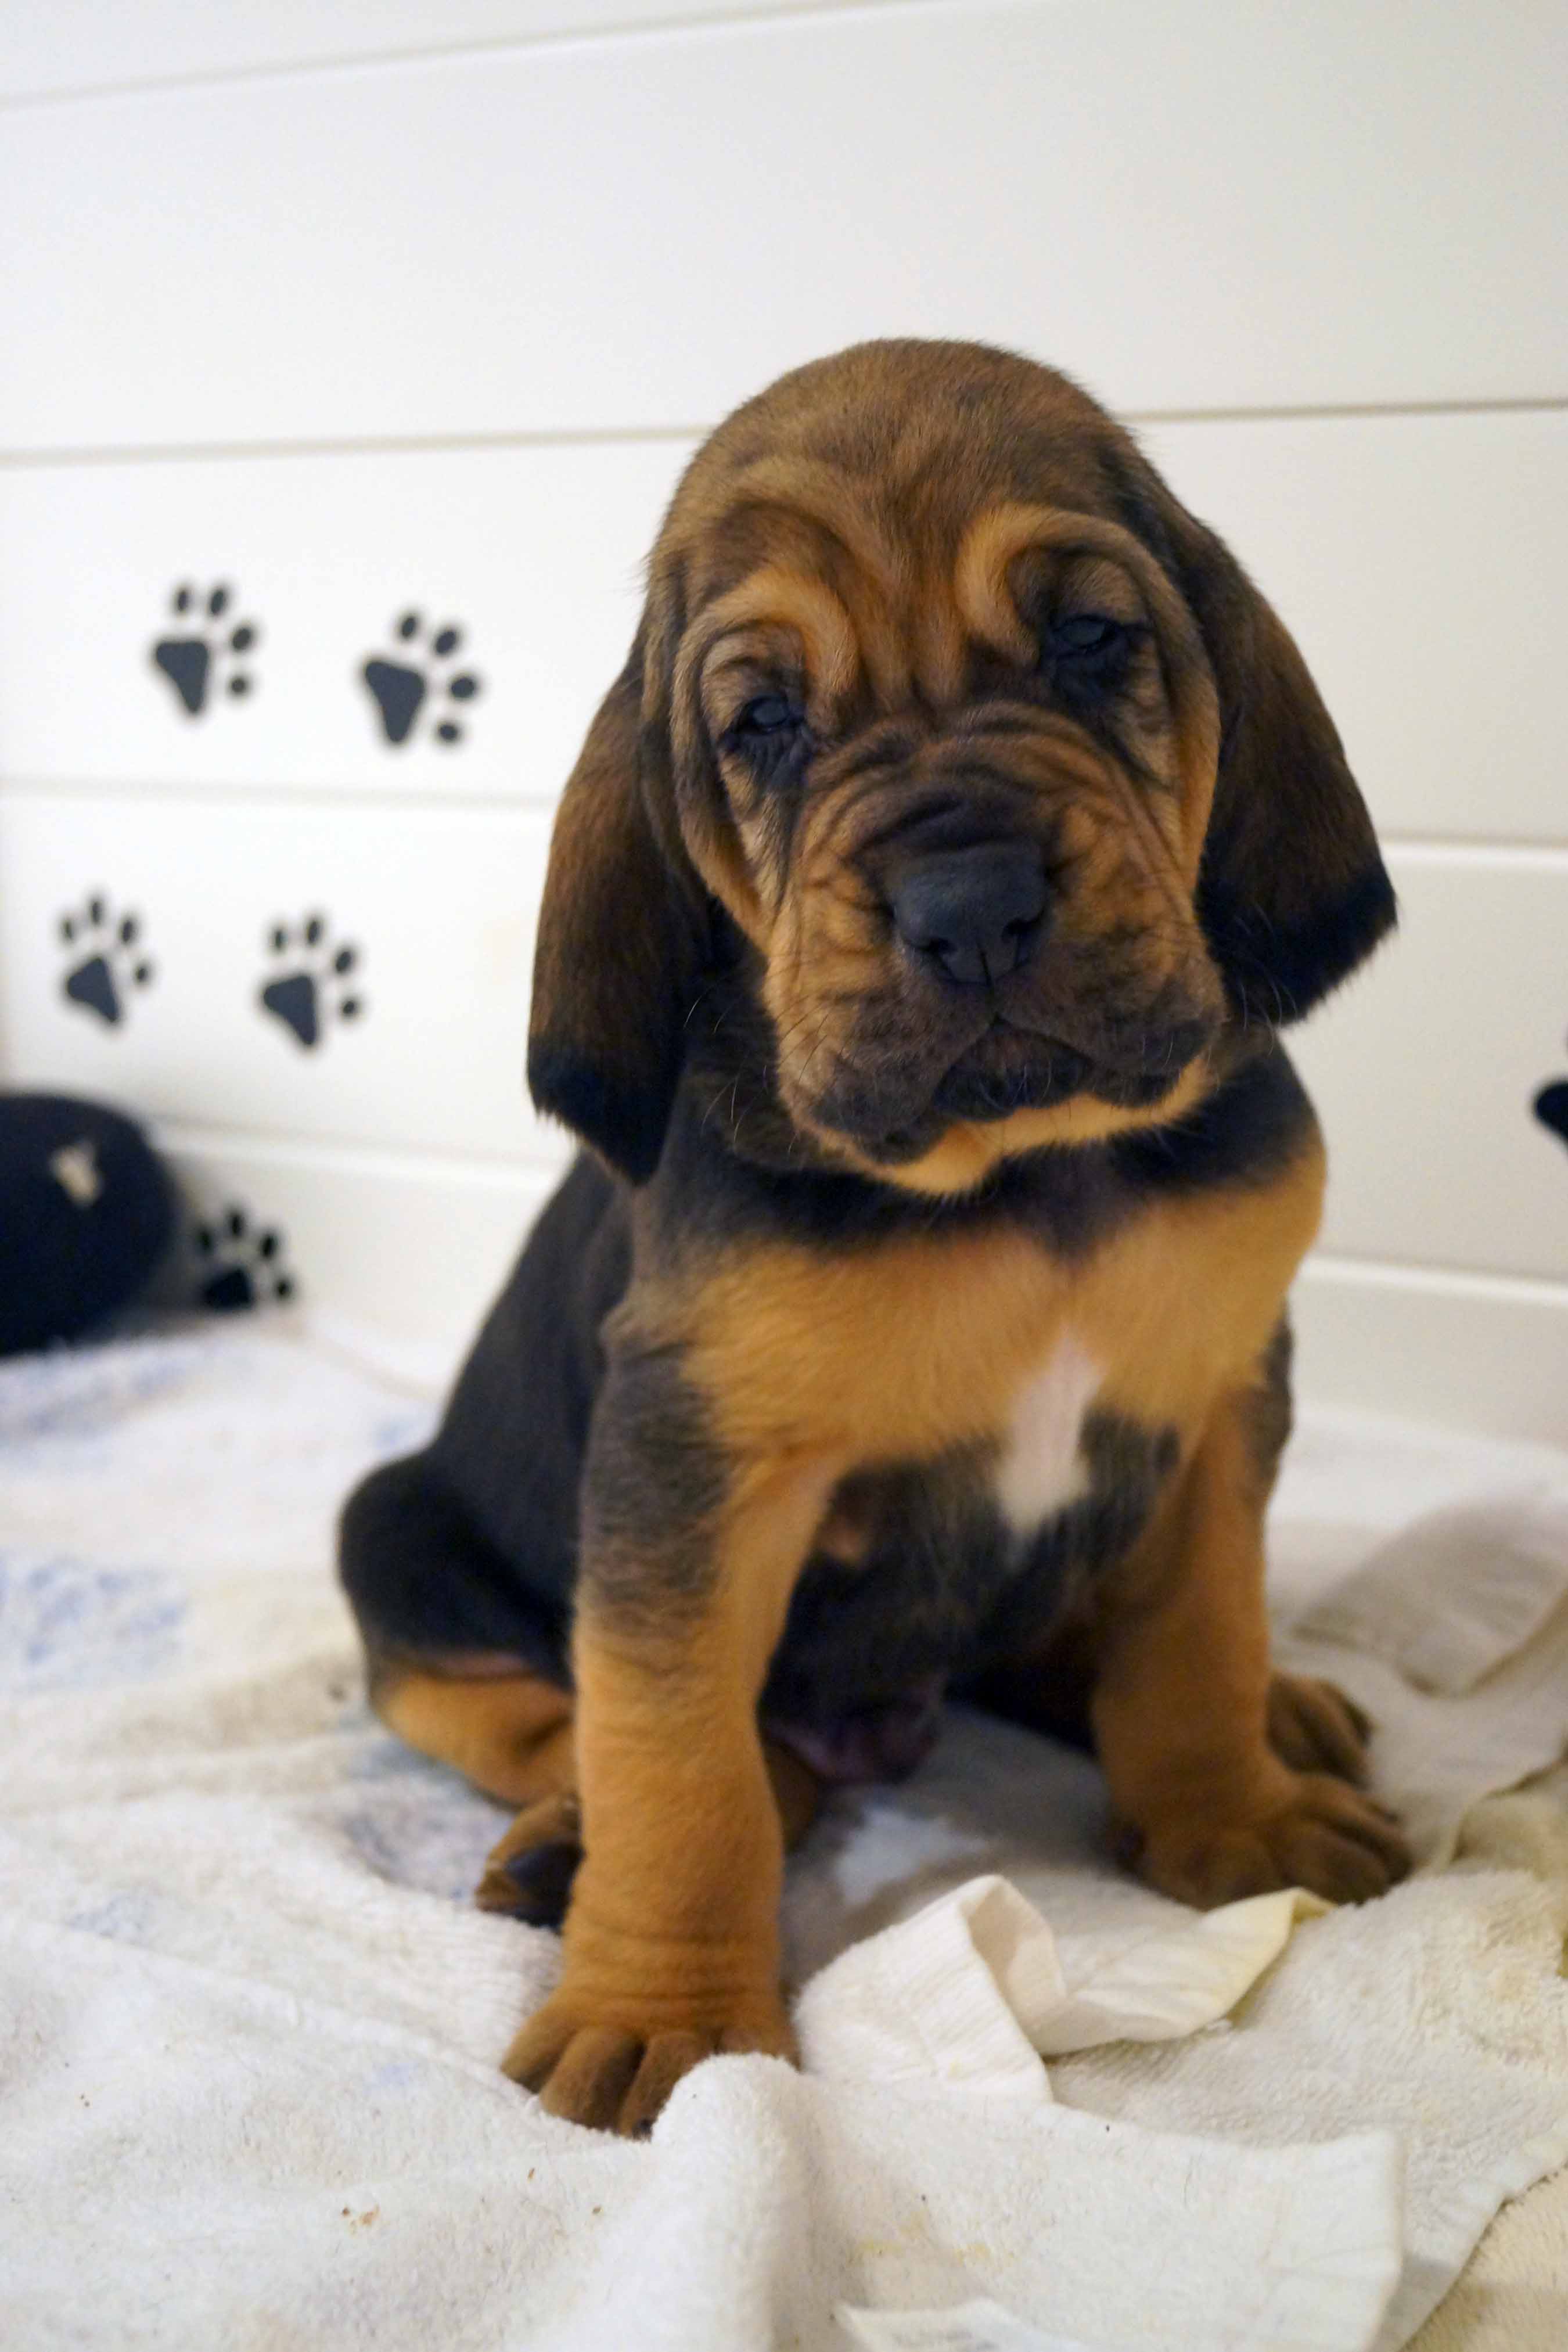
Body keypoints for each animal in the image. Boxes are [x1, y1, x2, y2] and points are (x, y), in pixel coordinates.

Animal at [340, 341, 1410, 2145]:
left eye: (1089, 639)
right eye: (763, 724)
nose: (968, 904)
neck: (1026, 1168)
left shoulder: (1214, 1404)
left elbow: (1195, 1630)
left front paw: (1229, 1810)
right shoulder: (690, 1469)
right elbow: (677, 1756)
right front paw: (657, 2010)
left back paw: (1277, 1710)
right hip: (394, 1532)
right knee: (565, 1721)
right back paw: (564, 1839)